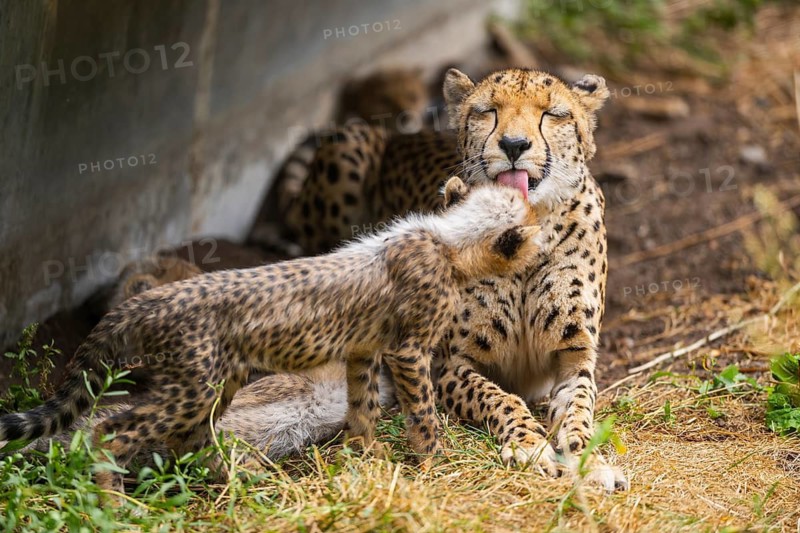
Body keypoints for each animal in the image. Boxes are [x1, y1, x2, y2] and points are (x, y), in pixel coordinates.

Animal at [0, 177, 541, 496]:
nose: (542, 242)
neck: (448, 238)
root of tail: (149, 301)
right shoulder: (407, 350)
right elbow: (422, 411)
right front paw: (433, 460)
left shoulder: (364, 349)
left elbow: (363, 406)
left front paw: (368, 456)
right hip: (199, 388)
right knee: (109, 430)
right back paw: (113, 498)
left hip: (215, 395)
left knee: (191, 441)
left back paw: (240, 477)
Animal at [274, 67, 628, 492]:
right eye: (488, 111)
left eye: (552, 114)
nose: (513, 145)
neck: (528, 229)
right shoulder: (451, 365)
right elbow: (501, 398)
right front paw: (528, 444)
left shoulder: (574, 357)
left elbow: (578, 411)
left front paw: (587, 459)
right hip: (350, 143)